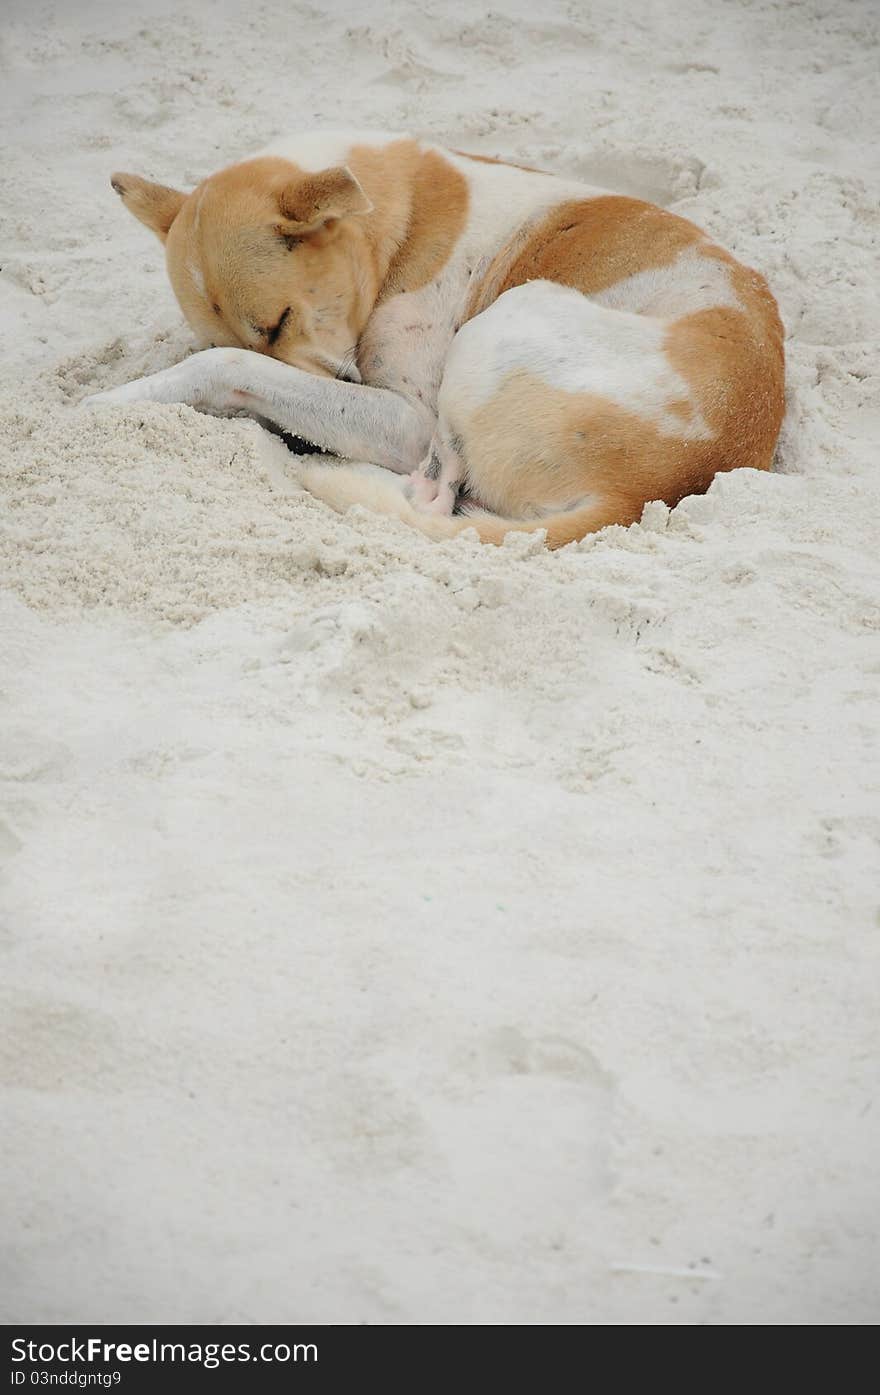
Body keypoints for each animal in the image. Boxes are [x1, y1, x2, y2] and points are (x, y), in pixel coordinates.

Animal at [86, 126, 786, 544]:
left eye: (280, 321)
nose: (294, 437)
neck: (397, 221)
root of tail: (653, 490)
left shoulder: (405, 416)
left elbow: (232, 369)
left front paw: (111, 401)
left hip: (503, 325)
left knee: (436, 495)